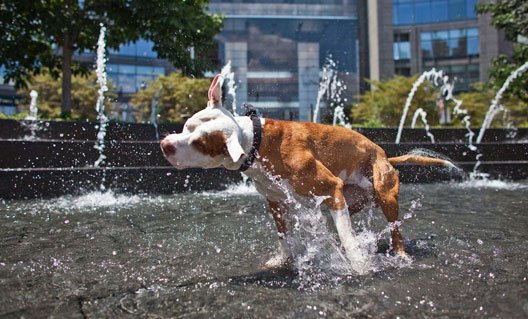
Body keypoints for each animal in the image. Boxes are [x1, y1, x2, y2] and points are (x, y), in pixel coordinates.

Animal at [160, 75, 450, 272]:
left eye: (200, 143)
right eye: (186, 125)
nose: (165, 144)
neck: (257, 142)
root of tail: (384, 154)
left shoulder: (330, 186)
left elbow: (348, 239)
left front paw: (358, 264)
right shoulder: (277, 201)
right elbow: (285, 237)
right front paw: (284, 259)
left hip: (383, 195)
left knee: (393, 229)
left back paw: (400, 254)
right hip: (350, 199)